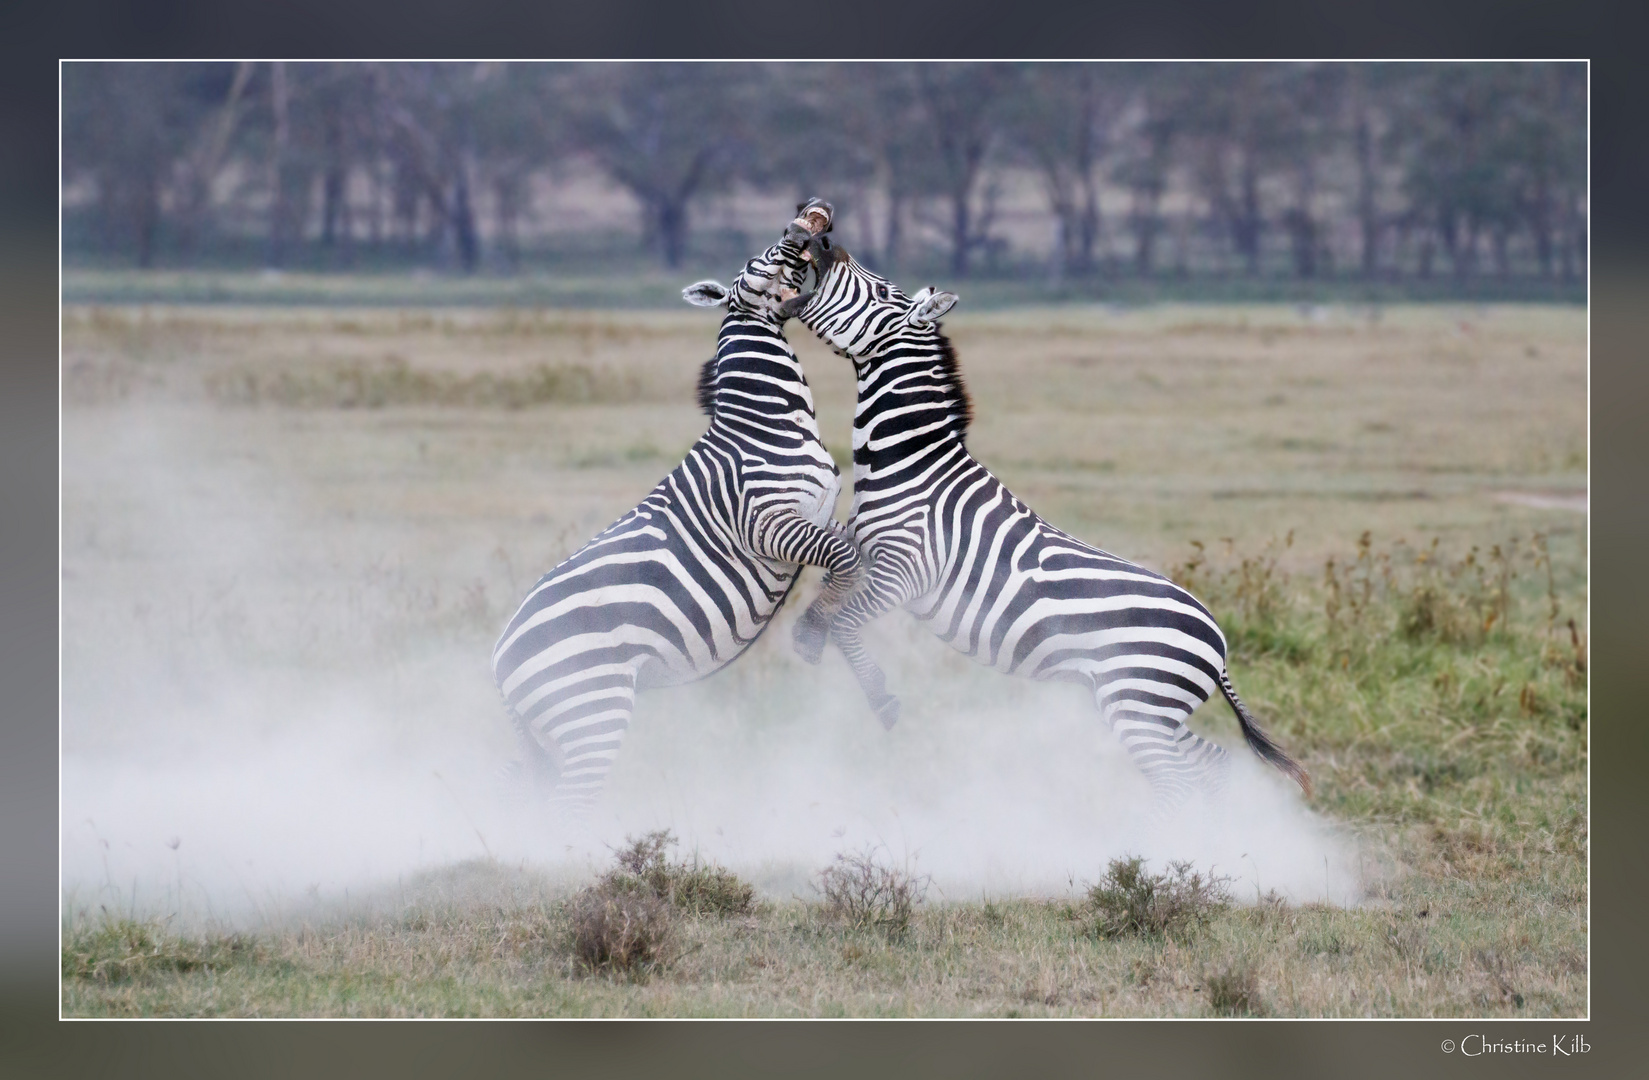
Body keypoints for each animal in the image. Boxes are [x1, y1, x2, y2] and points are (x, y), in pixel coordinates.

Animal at [488, 198, 857, 814]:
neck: (765, 421)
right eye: (759, 258)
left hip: (551, 735)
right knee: (567, 810)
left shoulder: (824, 513)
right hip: (593, 711)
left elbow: (861, 548)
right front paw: (819, 629)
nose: (808, 215)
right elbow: (847, 561)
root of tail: (498, 663)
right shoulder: (768, 524)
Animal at [778, 239, 1306, 811]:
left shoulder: (906, 573)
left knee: (1176, 785)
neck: (910, 464)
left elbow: (846, 624)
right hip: (1155, 711)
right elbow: (830, 597)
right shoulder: (859, 548)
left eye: (876, 290)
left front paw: (881, 698)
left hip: (1139, 708)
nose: (826, 243)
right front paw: (807, 636)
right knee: (1215, 768)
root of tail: (1220, 642)